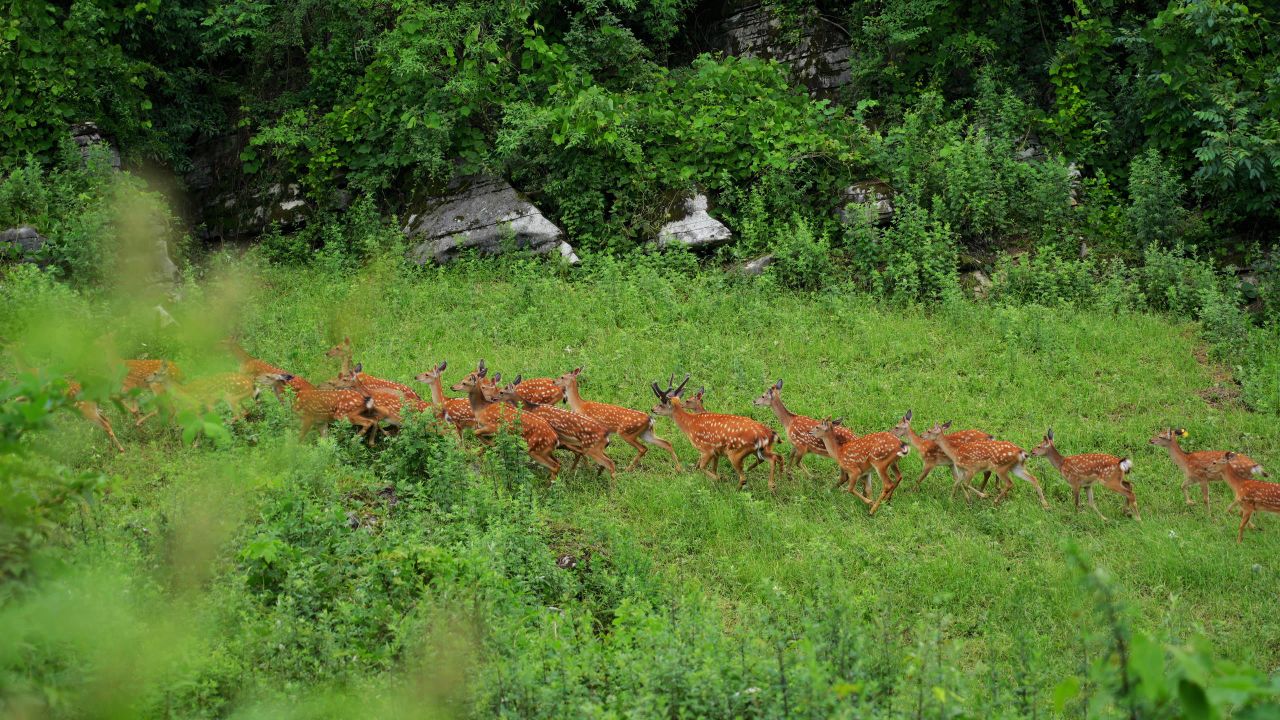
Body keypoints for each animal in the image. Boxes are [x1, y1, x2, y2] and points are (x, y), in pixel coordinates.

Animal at [555, 363, 686, 471]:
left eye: (562, 377)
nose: (554, 381)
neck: (580, 405)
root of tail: (650, 419)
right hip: (646, 433)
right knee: (666, 443)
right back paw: (678, 469)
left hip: (626, 432)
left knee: (643, 448)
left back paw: (628, 469)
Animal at [650, 371, 778, 489]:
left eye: (661, 403)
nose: (652, 409)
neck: (689, 425)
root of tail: (765, 434)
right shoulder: (717, 452)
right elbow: (711, 468)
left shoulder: (706, 449)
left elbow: (701, 468)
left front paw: (718, 479)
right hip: (757, 450)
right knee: (771, 458)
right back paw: (770, 484)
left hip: (735, 452)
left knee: (744, 477)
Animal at [921, 417, 1049, 507]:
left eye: (929, 430)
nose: (921, 435)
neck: (955, 452)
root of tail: (1021, 453)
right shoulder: (962, 469)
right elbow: (956, 483)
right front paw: (951, 500)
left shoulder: (971, 468)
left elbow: (965, 484)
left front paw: (983, 496)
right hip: (1016, 467)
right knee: (1033, 478)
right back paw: (1045, 504)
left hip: (1001, 468)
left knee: (1009, 483)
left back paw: (995, 500)